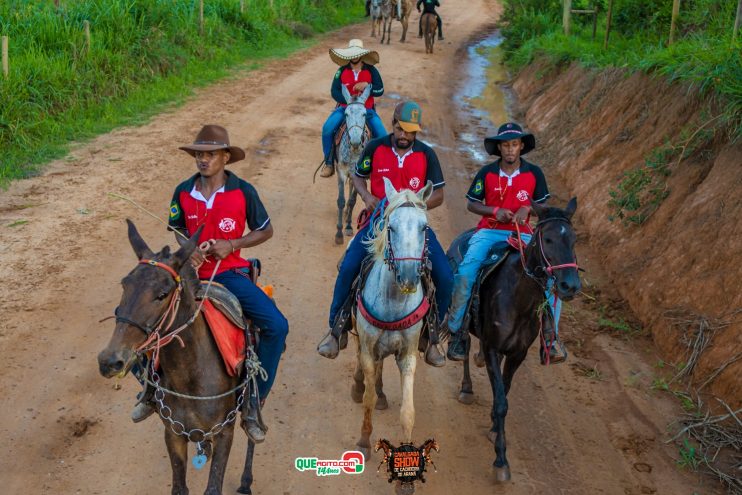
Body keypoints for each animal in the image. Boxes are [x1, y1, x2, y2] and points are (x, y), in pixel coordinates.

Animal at [98, 223, 262, 495]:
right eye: (124, 285)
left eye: (163, 294)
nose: (110, 361)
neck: (191, 377)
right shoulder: (172, 433)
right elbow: (178, 487)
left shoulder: (225, 432)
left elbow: (213, 487)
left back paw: (246, 478)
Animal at [352, 177, 434, 462]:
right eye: (391, 227)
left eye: (424, 227)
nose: (408, 277)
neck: (394, 303)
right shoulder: (368, 347)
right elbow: (367, 398)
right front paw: (364, 441)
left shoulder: (408, 354)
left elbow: (408, 412)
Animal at [448, 200, 580, 482]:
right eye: (548, 239)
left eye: (574, 240)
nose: (570, 285)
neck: (520, 299)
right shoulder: (492, 348)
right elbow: (501, 402)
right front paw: (501, 459)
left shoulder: (517, 353)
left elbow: (505, 391)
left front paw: (494, 428)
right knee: (464, 345)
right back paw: (466, 386)